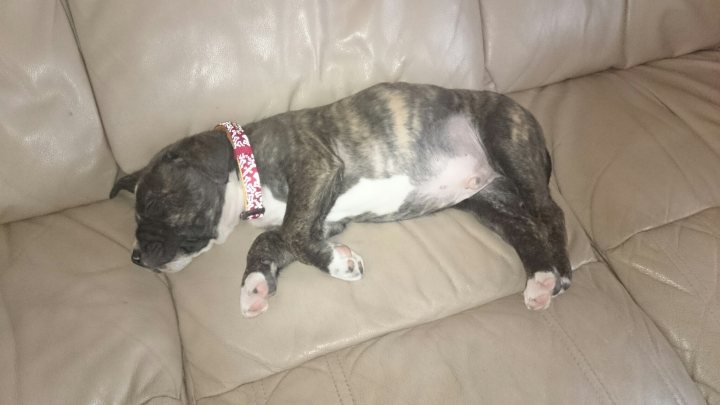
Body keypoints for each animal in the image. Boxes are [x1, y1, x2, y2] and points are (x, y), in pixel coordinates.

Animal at [112, 82, 572, 316]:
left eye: (151, 205)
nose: (134, 257)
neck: (245, 167)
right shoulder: (324, 217)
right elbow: (271, 239)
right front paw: (256, 284)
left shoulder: (315, 169)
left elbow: (292, 235)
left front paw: (339, 264)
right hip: (484, 200)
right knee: (523, 227)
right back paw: (540, 278)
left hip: (505, 139)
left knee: (550, 214)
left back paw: (562, 274)